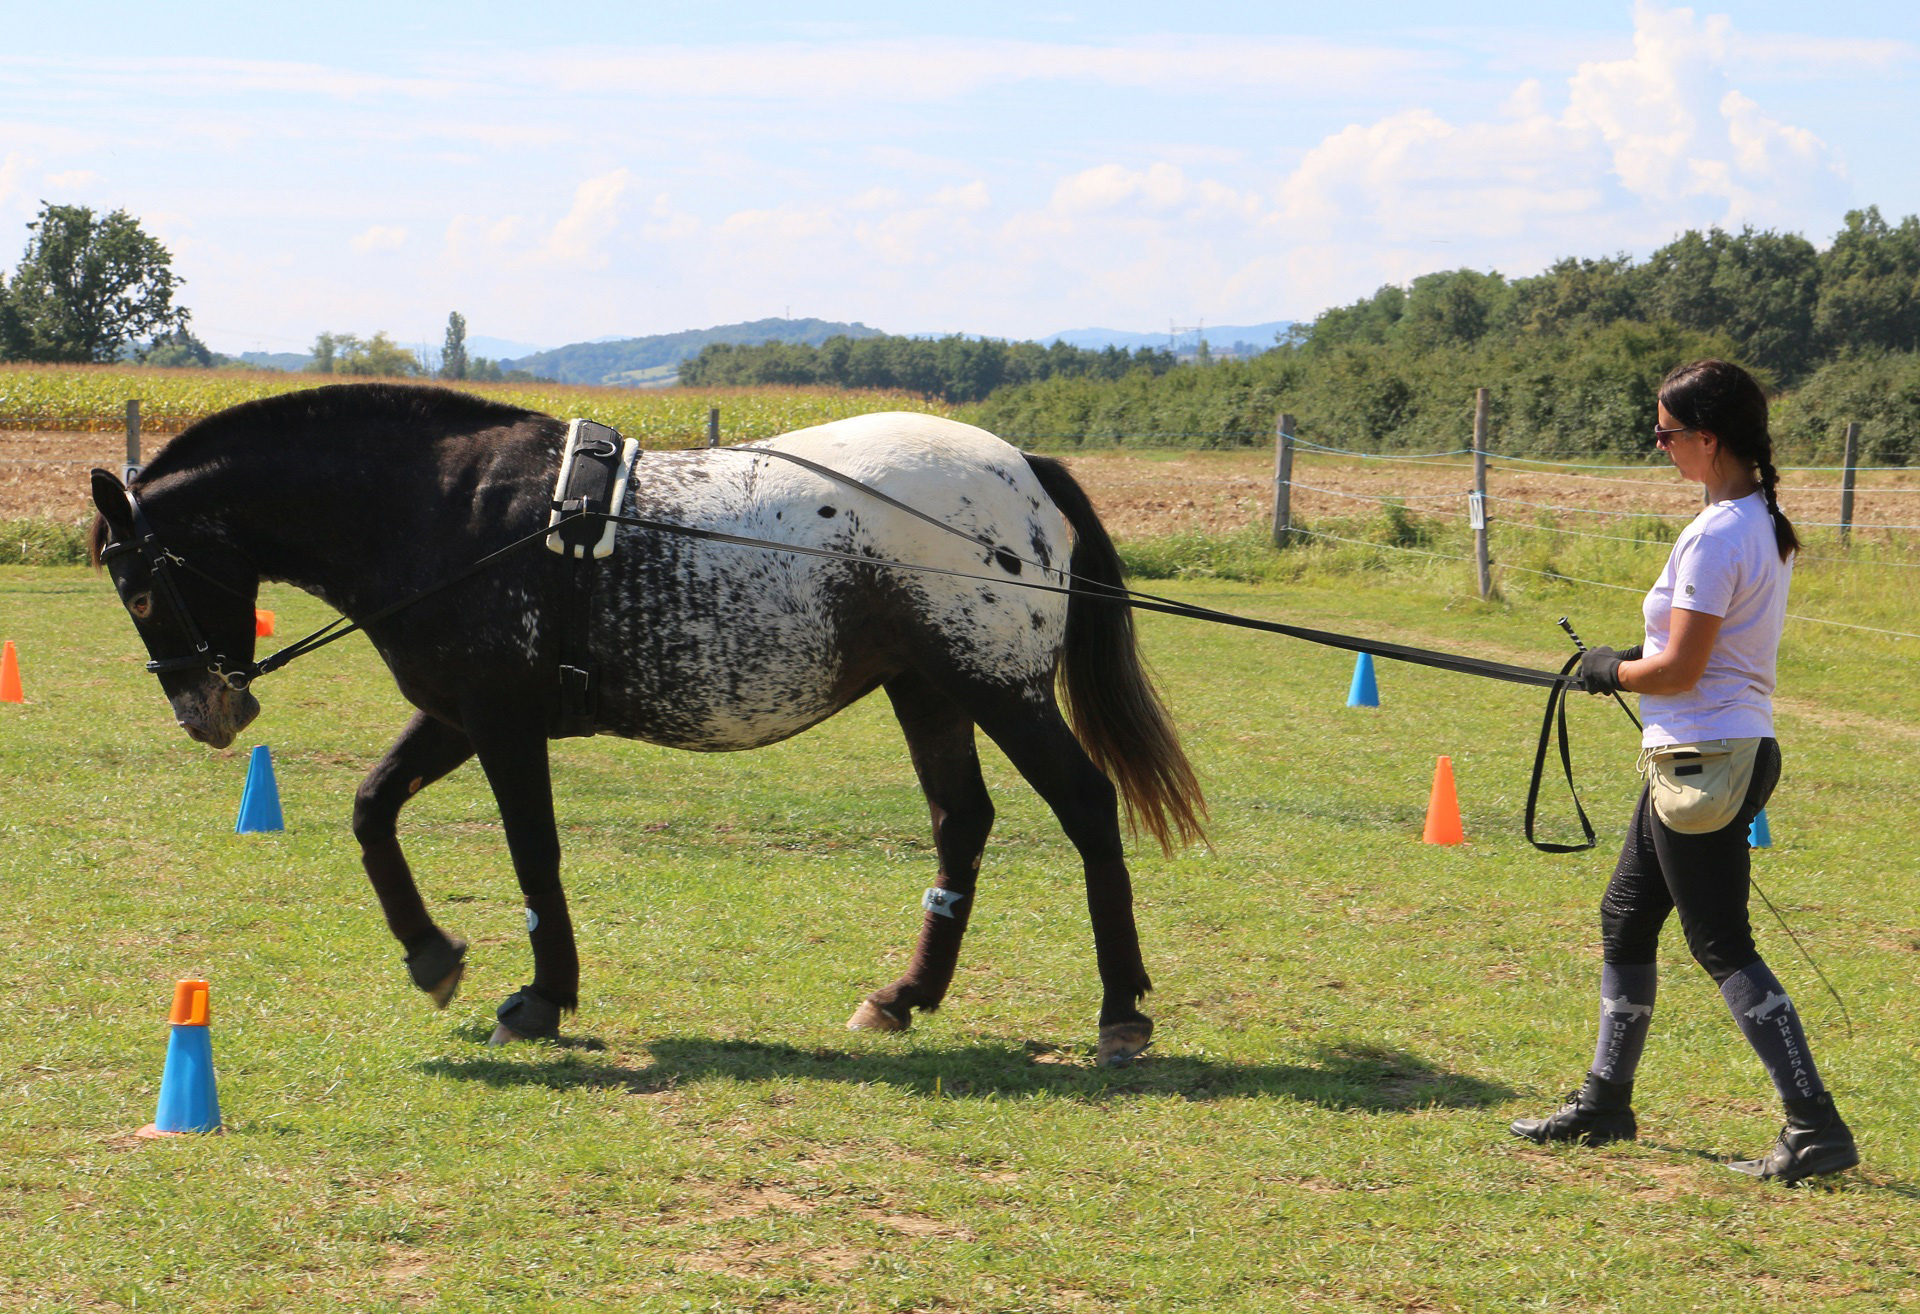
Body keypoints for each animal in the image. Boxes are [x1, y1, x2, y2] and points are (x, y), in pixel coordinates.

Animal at [88, 382, 1205, 1063]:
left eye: (139, 587)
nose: (205, 713)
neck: (447, 512)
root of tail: (1022, 466)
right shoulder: (456, 712)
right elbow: (372, 810)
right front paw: (432, 957)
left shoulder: (501, 722)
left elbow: (533, 855)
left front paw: (541, 996)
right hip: (926, 688)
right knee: (961, 822)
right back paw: (903, 996)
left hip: (994, 686)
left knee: (1084, 806)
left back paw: (1121, 1011)